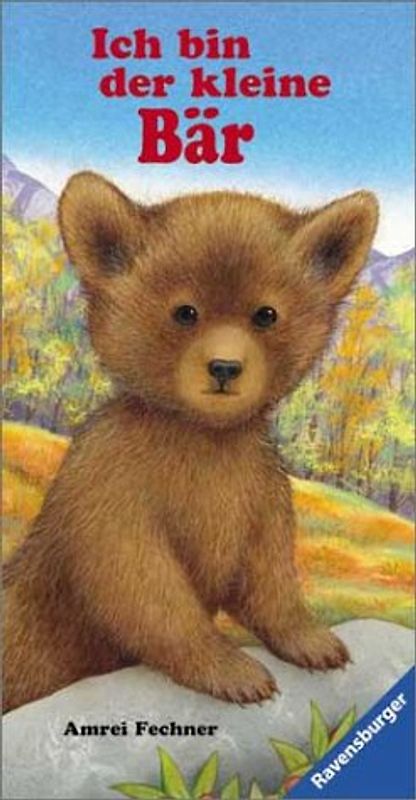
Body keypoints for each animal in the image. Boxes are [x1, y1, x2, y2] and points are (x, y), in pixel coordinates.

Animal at [4, 173, 378, 711]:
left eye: (266, 314)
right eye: (185, 312)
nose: (224, 367)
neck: (205, 439)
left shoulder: (261, 491)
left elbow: (268, 579)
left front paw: (311, 640)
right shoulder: (108, 487)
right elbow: (146, 591)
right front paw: (232, 670)